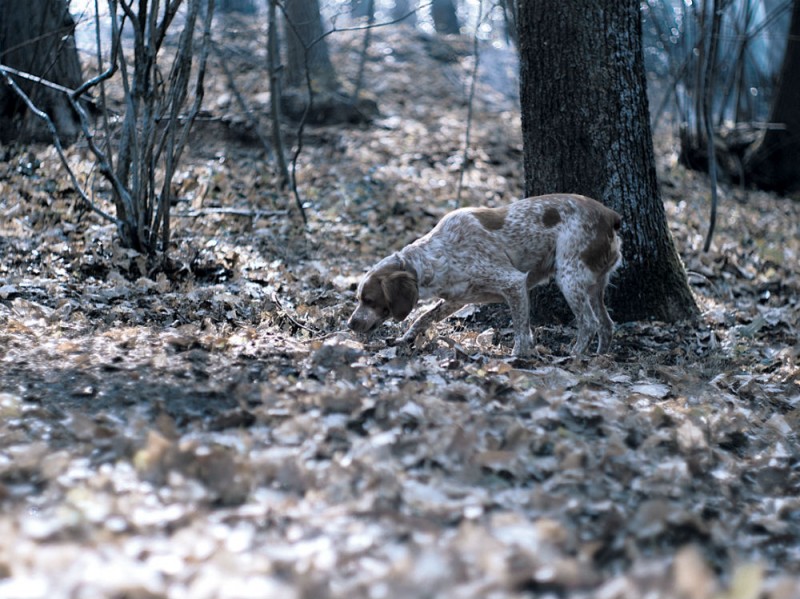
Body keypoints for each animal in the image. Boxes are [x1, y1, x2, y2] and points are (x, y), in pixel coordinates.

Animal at [346, 193, 620, 356]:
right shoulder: (458, 299)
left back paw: (574, 357)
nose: (350, 324)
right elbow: (423, 317)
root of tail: (610, 215)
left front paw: (517, 359)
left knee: (589, 323)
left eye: (369, 300)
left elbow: (521, 332)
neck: (436, 254)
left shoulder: (513, 283)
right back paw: (599, 358)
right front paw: (406, 338)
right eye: (358, 299)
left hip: (569, 278)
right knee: (606, 325)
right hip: (593, 286)